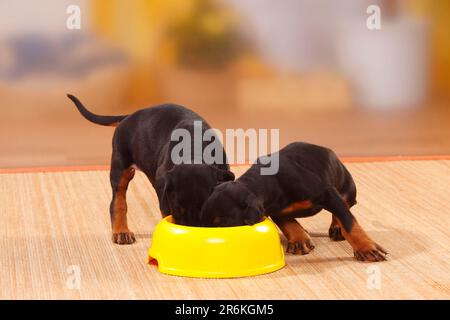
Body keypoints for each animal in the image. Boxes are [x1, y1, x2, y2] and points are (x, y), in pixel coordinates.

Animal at [68, 94, 236, 244]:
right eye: (177, 209)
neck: (193, 150)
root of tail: (128, 117)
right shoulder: (167, 200)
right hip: (120, 165)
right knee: (118, 199)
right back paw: (121, 232)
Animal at [200, 141, 386, 262]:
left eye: (221, 225)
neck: (265, 181)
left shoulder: (327, 193)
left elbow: (349, 222)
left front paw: (367, 248)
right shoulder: (274, 209)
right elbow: (288, 223)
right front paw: (299, 240)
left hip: (347, 187)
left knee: (345, 205)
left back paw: (336, 228)